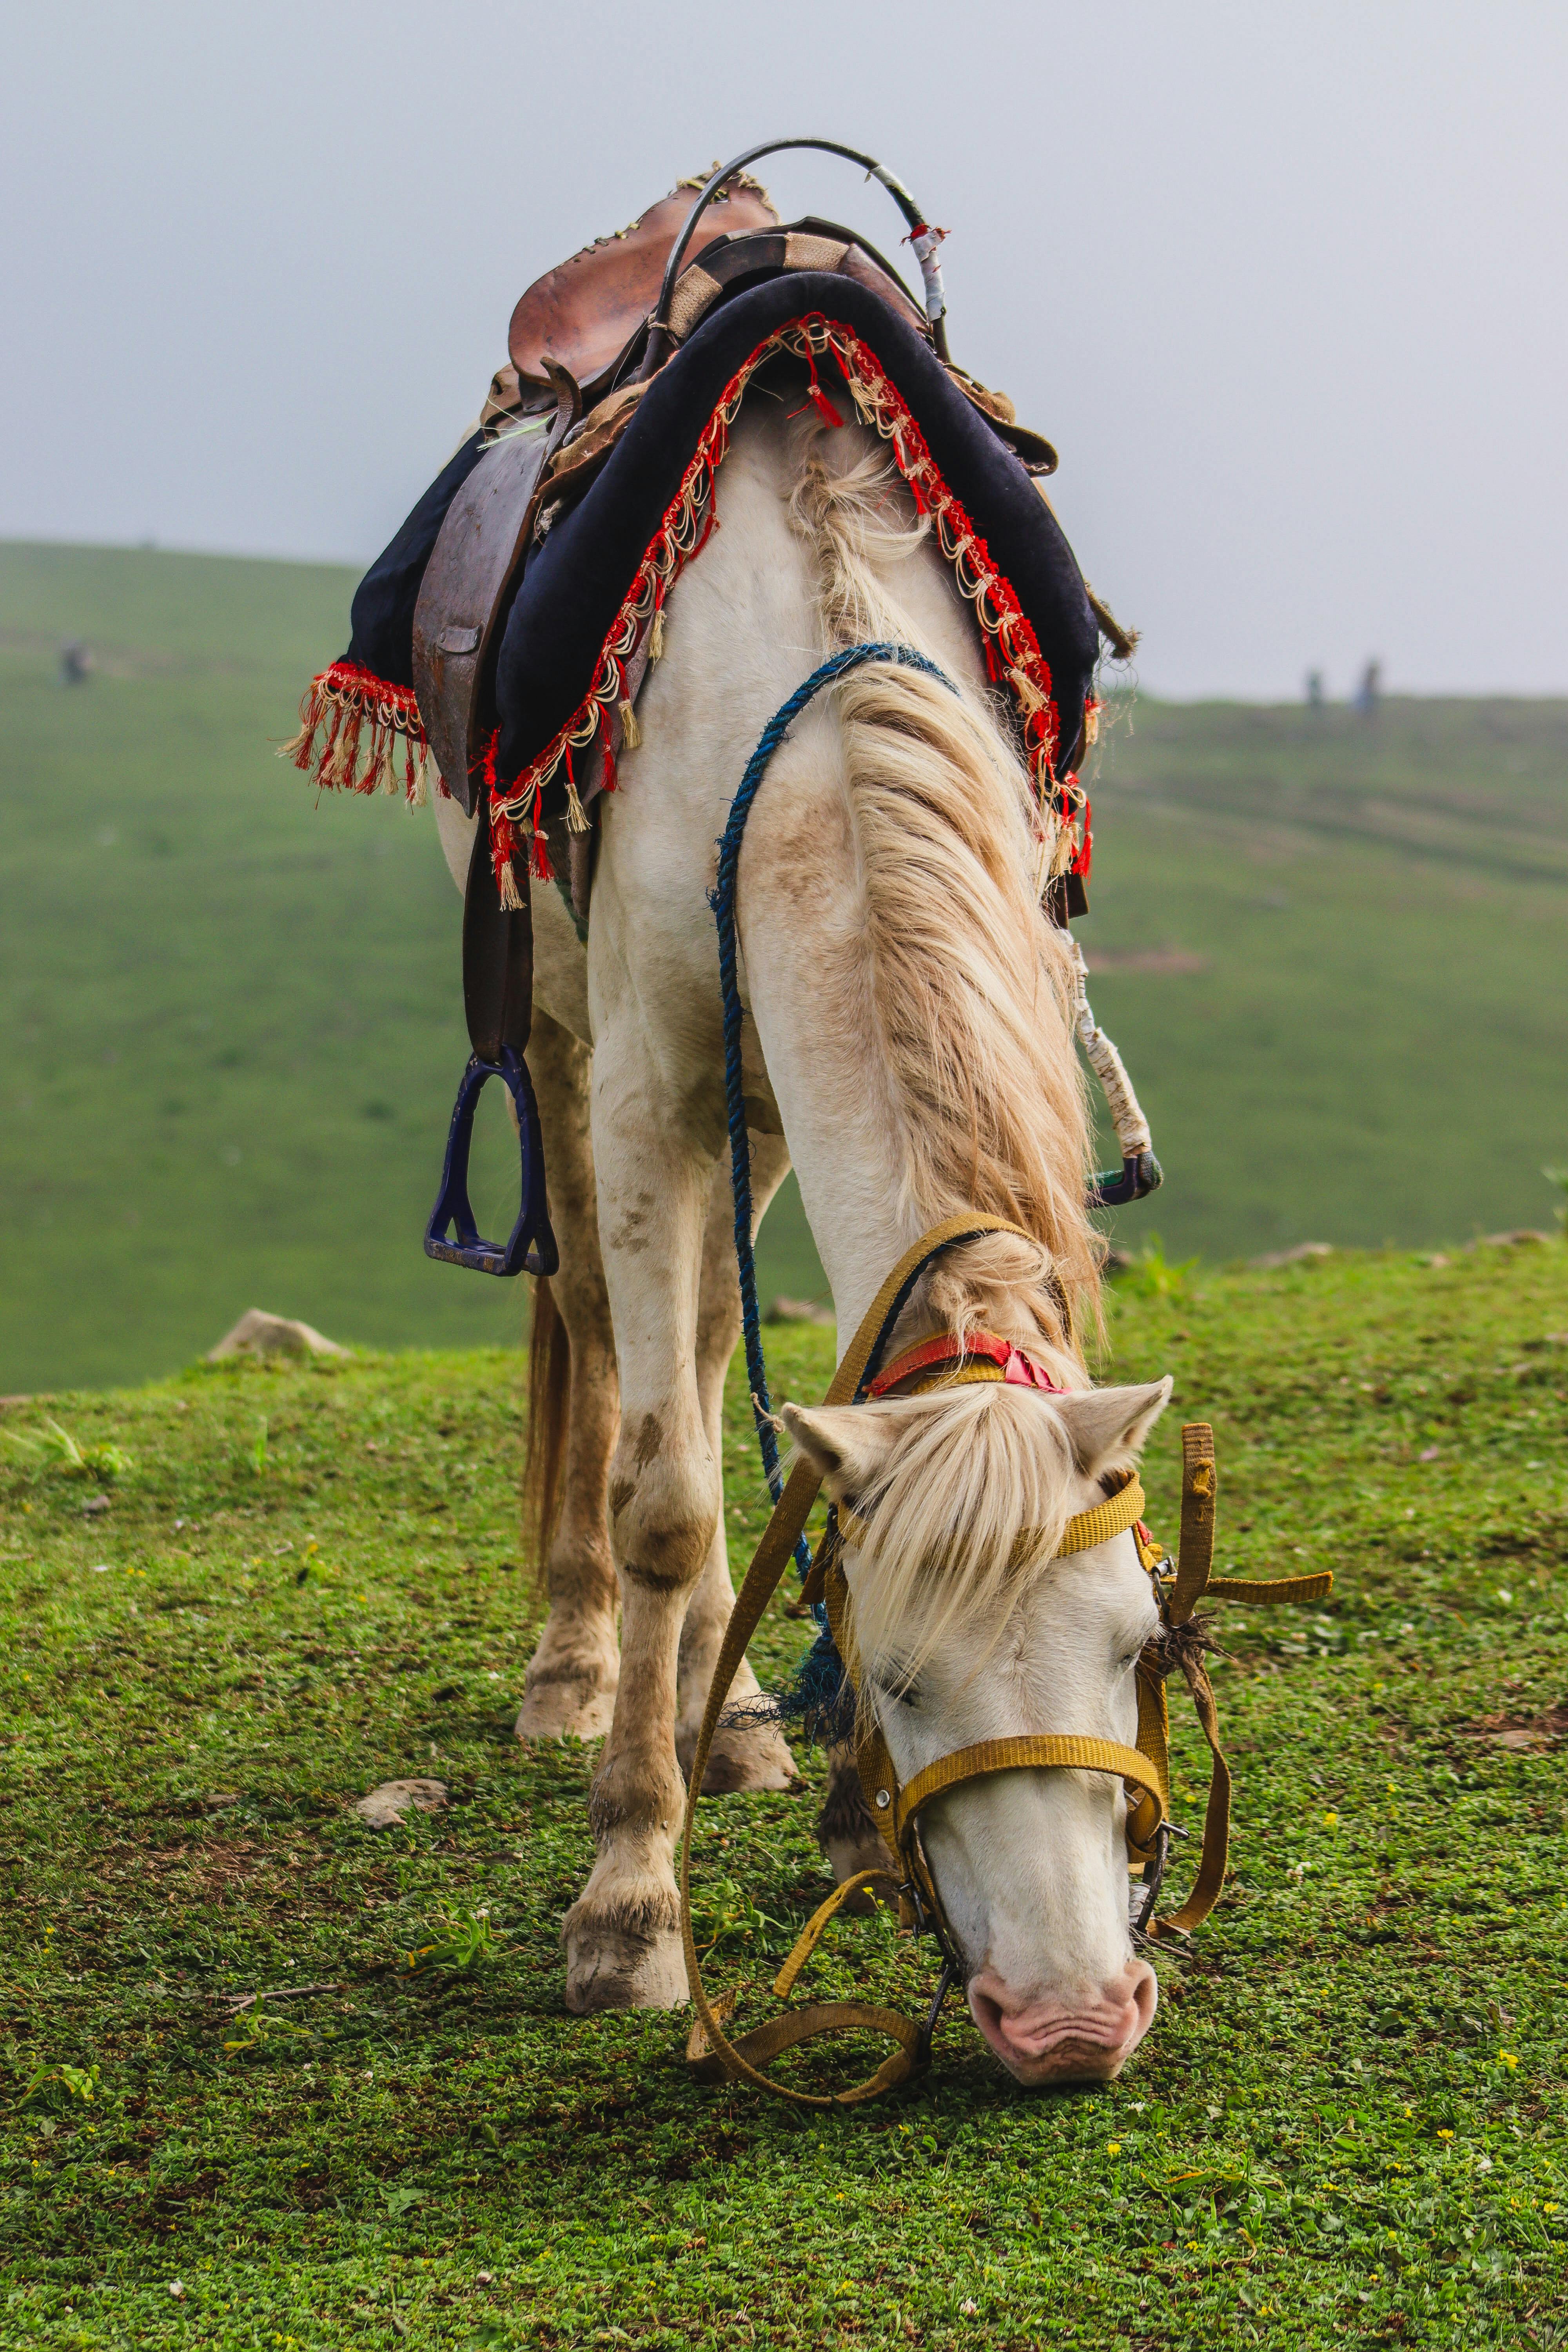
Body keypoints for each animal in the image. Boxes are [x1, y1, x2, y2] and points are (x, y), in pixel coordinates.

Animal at [431, 395, 1172, 2085]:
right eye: (900, 1676)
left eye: (1138, 1650)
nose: (1071, 2023)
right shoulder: (649, 1089)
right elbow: (661, 1496)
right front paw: (628, 1902)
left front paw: (836, 1810)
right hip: (561, 1046)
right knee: (608, 1334)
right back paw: (580, 1670)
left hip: (757, 1117)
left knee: (710, 1345)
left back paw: (738, 1712)